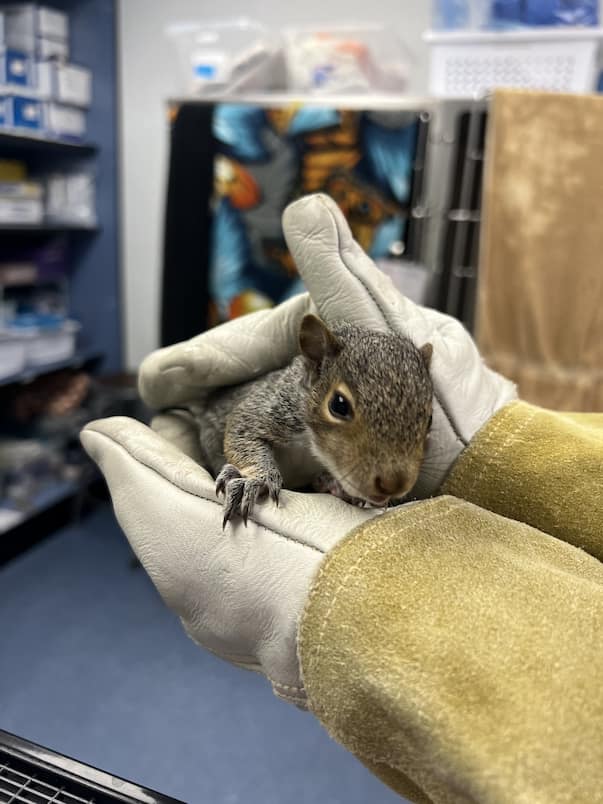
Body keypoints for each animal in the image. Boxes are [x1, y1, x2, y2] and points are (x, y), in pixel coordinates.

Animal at [197, 314, 434, 528]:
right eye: (338, 405)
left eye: (430, 419)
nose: (394, 485)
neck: (312, 449)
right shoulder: (268, 409)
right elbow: (241, 433)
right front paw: (256, 480)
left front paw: (335, 486)